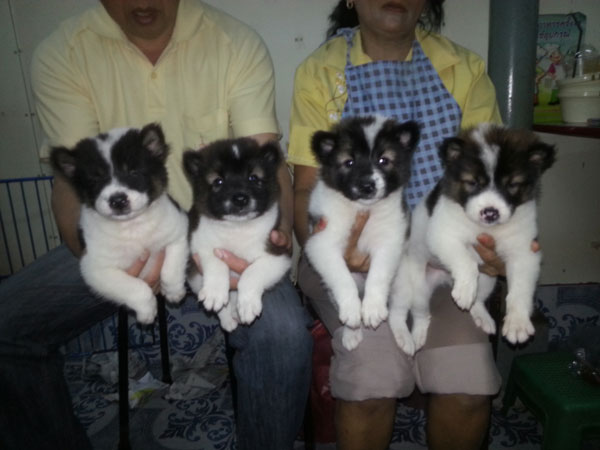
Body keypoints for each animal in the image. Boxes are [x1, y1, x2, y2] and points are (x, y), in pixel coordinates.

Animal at [50, 123, 189, 324]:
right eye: (95, 180)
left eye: (133, 172)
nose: (117, 200)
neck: (132, 227)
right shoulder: (95, 269)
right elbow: (134, 286)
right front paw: (147, 310)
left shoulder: (179, 231)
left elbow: (171, 268)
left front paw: (174, 291)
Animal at [184, 137, 291, 331]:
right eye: (218, 181)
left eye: (253, 178)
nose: (240, 199)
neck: (237, 227)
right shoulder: (199, 244)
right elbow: (216, 260)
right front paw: (215, 293)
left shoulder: (279, 256)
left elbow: (252, 272)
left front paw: (247, 304)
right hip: (194, 278)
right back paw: (227, 318)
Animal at [305, 116, 419, 350]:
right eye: (349, 162)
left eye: (384, 160)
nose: (367, 185)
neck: (361, 207)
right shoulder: (321, 242)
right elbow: (341, 277)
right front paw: (352, 311)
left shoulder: (389, 242)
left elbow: (378, 274)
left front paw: (373, 308)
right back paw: (352, 331)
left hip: (402, 279)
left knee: (397, 311)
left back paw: (403, 337)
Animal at [389, 123, 556, 355]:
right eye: (473, 182)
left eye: (512, 185)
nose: (490, 212)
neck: (488, 229)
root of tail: (445, 279)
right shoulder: (442, 235)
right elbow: (465, 260)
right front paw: (465, 289)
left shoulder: (525, 252)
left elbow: (520, 288)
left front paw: (517, 323)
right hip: (413, 285)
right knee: (415, 313)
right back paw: (414, 336)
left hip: (488, 279)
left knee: (476, 300)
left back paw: (482, 316)